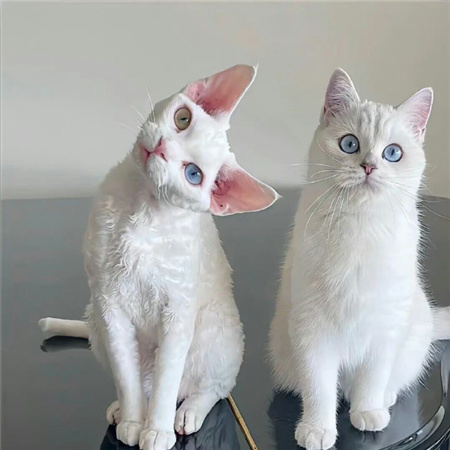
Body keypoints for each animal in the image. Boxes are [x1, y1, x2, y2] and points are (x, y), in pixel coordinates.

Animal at [39, 64, 279, 450]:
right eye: (182, 118)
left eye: (193, 174)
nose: (164, 147)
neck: (140, 208)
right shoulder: (109, 304)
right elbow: (127, 375)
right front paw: (133, 421)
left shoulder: (177, 310)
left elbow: (170, 376)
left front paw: (157, 431)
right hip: (96, 322)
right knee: (143, 380)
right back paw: (121, 408)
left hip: (218, 331)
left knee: (212, 387)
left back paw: (187, 413)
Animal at [269, 68, 450, 450]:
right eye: (350, 144)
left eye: (393, 153)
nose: (368, 166)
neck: (359, 225)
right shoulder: (311, 330)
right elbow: (319, 387)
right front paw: (317, 430)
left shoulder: (385, 328)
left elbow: (372, 379)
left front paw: (367, 414)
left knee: (386, 382)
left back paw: (381, 401)